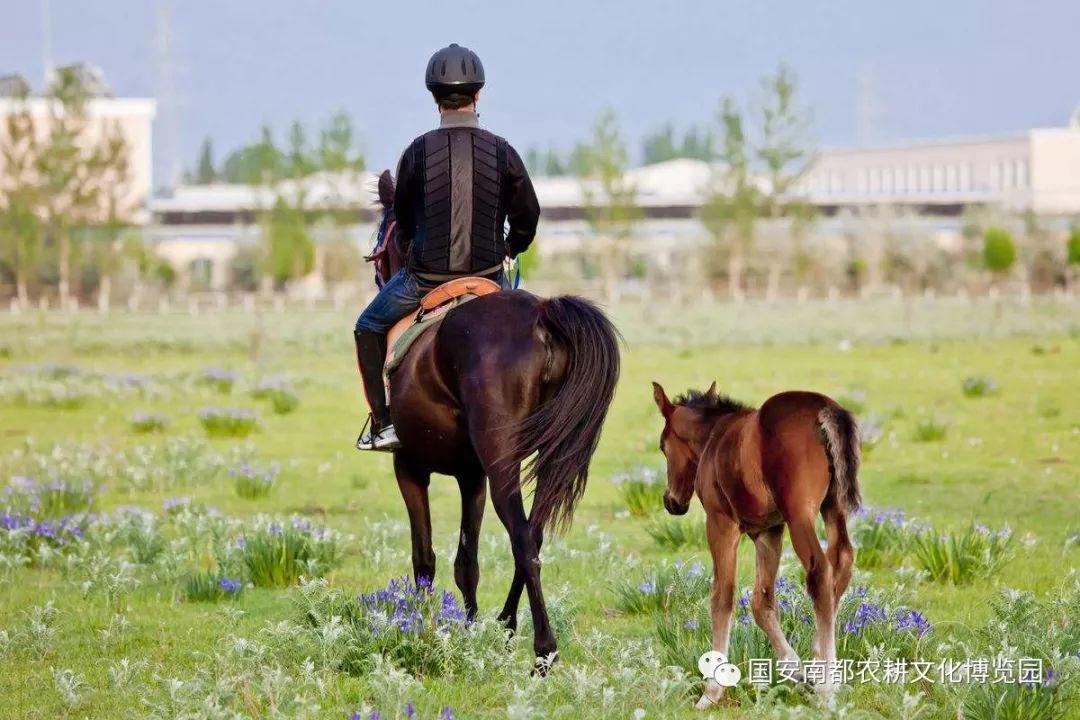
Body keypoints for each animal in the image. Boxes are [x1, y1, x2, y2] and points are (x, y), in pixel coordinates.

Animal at [367, 171, 622, 669]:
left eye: (383, 234)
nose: (378, 272)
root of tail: (541, 316)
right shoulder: (473, 476)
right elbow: (466, 562)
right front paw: (467, 629)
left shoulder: (409, 468)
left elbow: (424, 559)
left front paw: (423, 629)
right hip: (546, 453)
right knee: (534, 536)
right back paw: (504, 623)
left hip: (501, 461)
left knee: (522, 538)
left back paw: (543, 649)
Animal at [648, 382, 859, 708]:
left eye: (662, 446)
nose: (672, 502)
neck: (714, 438)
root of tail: (824, 408)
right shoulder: (768, 531)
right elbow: (762, 603)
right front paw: (797, 672)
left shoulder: (720, 523)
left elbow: (722, 597)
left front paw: (711, 692)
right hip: (833, 507)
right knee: (843, 560)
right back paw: (817, 662)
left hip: (800, 514)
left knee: (820, 571)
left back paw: (827, 687)